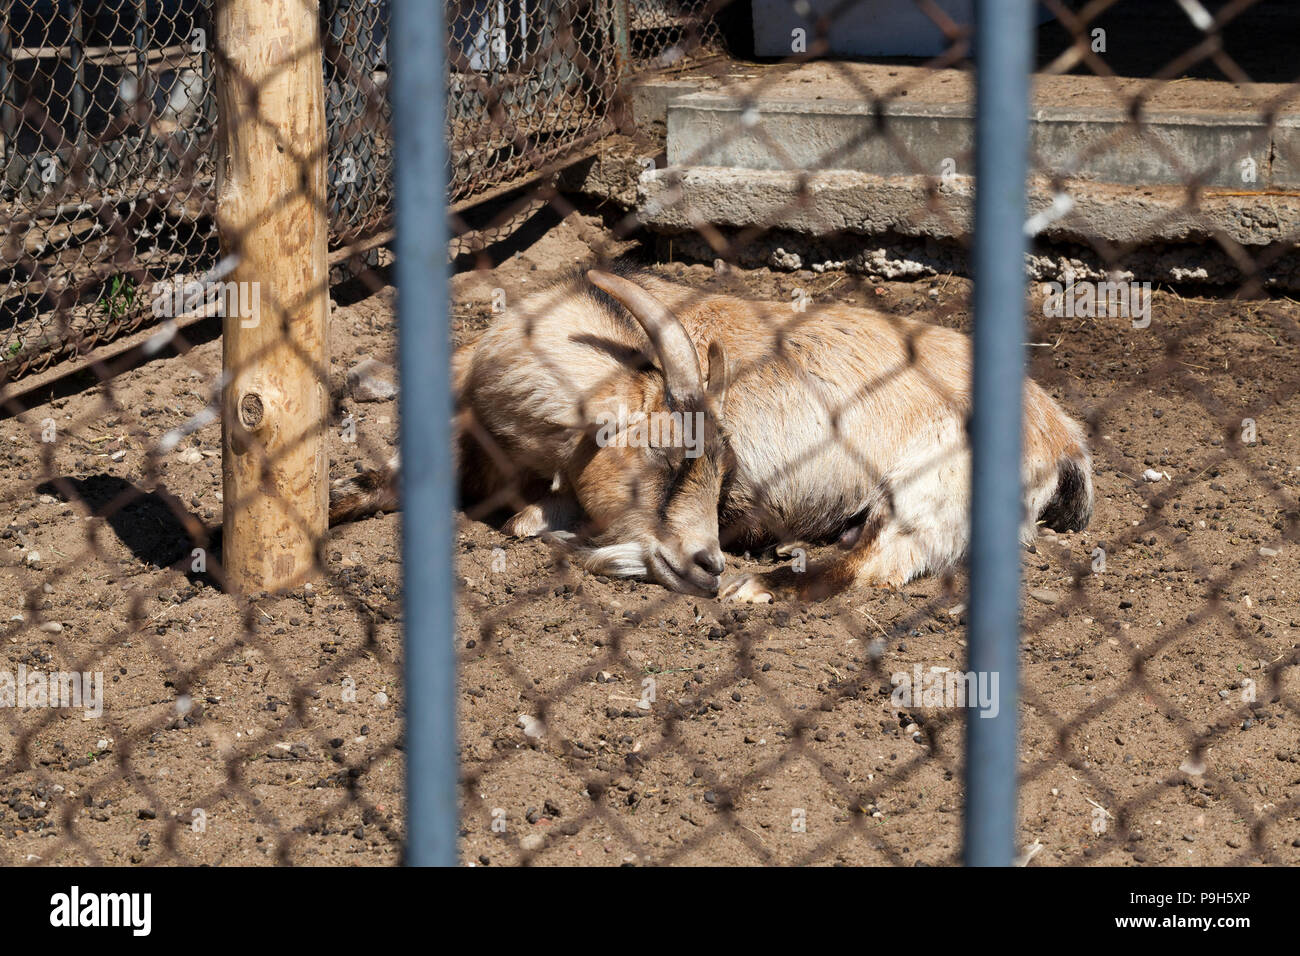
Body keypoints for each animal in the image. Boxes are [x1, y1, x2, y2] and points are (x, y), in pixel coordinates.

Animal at [330, 265, 1092, 600]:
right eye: (667, 459)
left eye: (721, 472)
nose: (708, 560)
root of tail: (1062, 434)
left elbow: (528, 523)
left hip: (931, 483)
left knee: (882, 561)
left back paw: (761, 587)